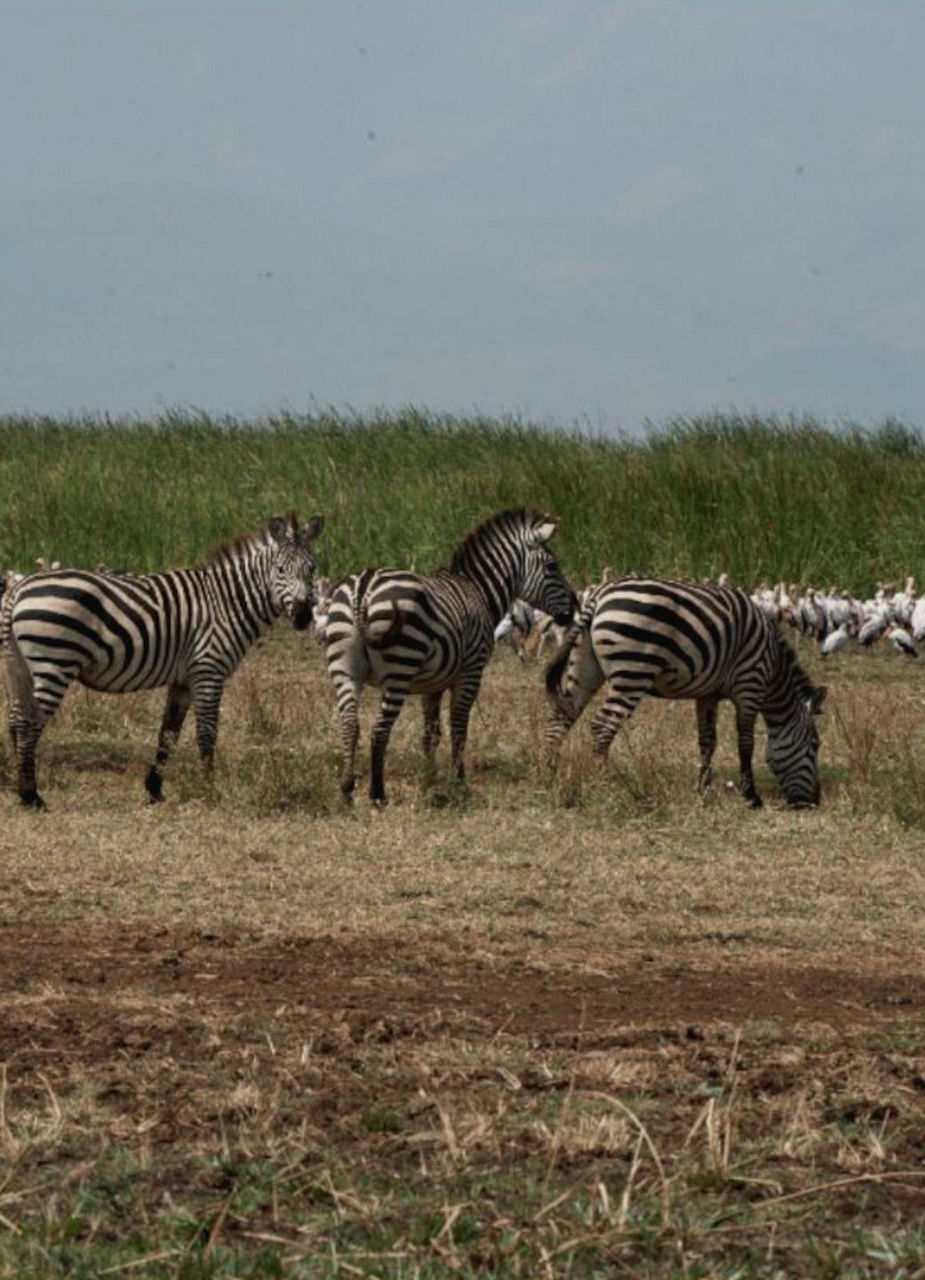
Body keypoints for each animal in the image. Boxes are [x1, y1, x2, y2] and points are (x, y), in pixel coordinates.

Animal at [1, 512, 326, 803]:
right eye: (281, 570)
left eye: (311, 569)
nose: (302, 616)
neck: (228, 603)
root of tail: (18, 589)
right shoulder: (208, 670)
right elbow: (207, 733)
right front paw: (210, 789)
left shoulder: (183, 679)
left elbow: (168, 734)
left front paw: (154, 789)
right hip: (54, 664)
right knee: (29, 722)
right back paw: (31, 795)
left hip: (20, 667)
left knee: (16, 718)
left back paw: (19, 783)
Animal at [322, 506, 575, 798]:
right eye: (552, 566)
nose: (573, 608)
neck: (479, 590)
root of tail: (363, 588)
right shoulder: (471, 672)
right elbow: (458, 728)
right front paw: (459, 782)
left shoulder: (431, 683)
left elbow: (431, 733)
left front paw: (429, 778)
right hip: (399, 668)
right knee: (379, 730)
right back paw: (377, 793)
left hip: (344, 668)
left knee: (350, 724)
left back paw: (347, 788)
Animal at [542, 576, 823, 803]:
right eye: (814, 746)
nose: (814, 801)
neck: (773, 667)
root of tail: (599, 595)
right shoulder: (750, 685)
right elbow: (746, 743)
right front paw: (750, 795)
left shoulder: (708, 694)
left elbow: (708, 741)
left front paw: (704, 789)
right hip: (632, 672)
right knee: (601, 726)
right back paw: (609, 783)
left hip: (585, 666)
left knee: (561, 716)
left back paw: (550, 773)